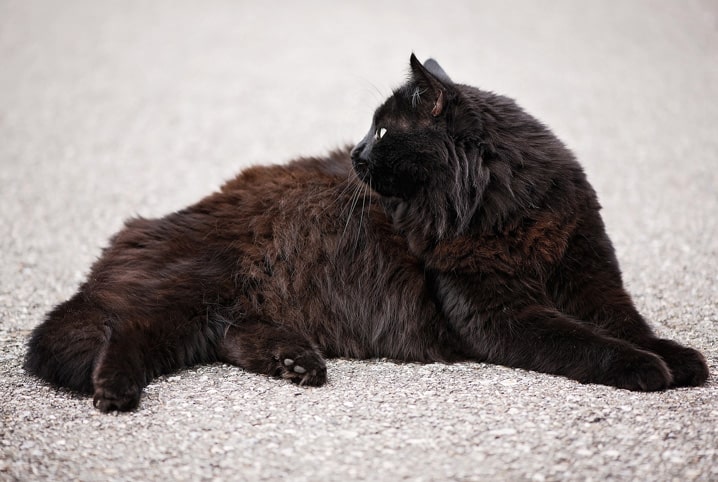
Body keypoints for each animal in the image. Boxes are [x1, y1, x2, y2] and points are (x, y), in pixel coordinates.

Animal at [25, 55, 712, 410]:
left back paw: (297, 364)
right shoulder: (497, 311)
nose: (355, 153)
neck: (502, 211)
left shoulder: (587, 272)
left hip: (217, 309)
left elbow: (626, 323)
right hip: (185, 293)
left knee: (231, 334)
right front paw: (646, 368)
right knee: (122, 330)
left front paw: (679, 358)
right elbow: (585, 342)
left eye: (383, 131)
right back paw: (114, 390)